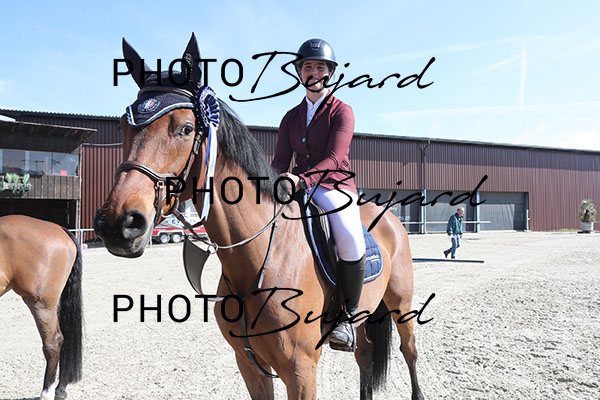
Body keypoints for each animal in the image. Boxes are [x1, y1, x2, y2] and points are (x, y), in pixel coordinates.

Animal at [94, 34, 424, 400]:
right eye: (123, 126)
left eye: (186, 128)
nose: (119, 224)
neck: (258, 259)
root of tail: (390, 216)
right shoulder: (249, 365)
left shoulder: (301, 371)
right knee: (364, 354)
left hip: (401, 302)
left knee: (409, 351)